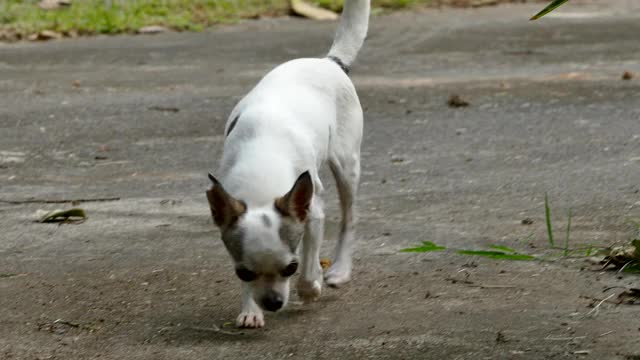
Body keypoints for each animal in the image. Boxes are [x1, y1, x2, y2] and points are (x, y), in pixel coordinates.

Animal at [209, 0, 370, 328]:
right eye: (243, 272)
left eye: (290, 268)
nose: (272, 303)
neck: (262, 175)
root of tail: (330, 62)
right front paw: (250, 310)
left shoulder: (312, 213)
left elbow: (309, 261)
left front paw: (310, 288)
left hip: (346, 165)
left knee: (349, 217)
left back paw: (339, 270)